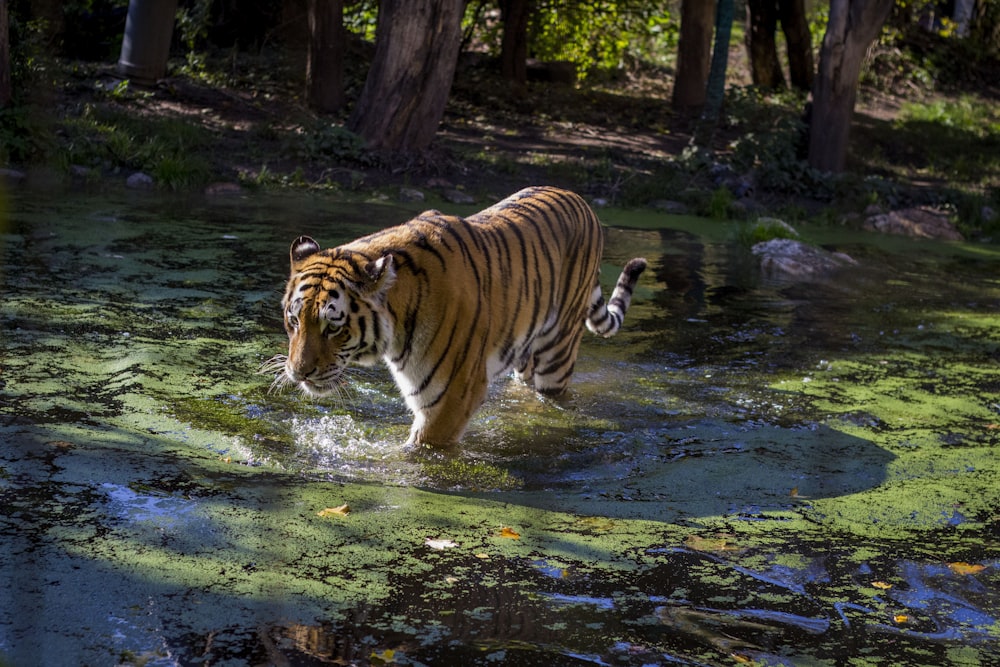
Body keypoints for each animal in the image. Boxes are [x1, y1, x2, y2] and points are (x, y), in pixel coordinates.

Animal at [272, 187, 648, 448]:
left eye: (333, 327)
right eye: (294, 321)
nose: (298, 372)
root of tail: (583, 202)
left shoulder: (451, 396)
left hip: (557, 355)